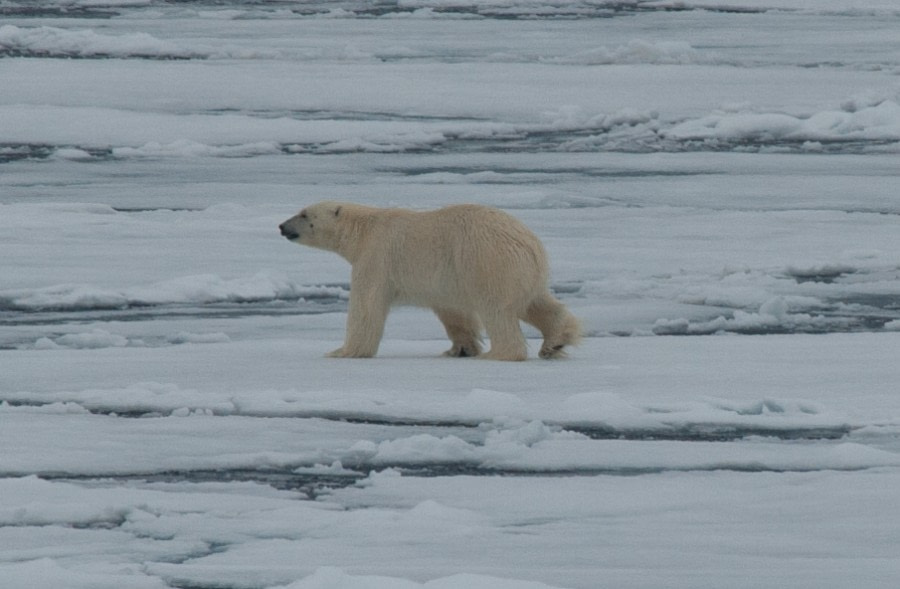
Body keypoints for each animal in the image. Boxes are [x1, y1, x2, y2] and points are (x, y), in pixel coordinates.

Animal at [278, 201, 580, 358]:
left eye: (305, 214)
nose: (282, 226)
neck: (363, 230)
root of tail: (529, 242)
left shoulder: (376, 257)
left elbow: (366, 306)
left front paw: (342, 351)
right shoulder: (445, 279)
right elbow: (453, 312)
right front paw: (459, 348)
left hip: (488, 262)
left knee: (497, 310)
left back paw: (500, 353)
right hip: (524, 271)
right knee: (538, 303)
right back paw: (555, 341)